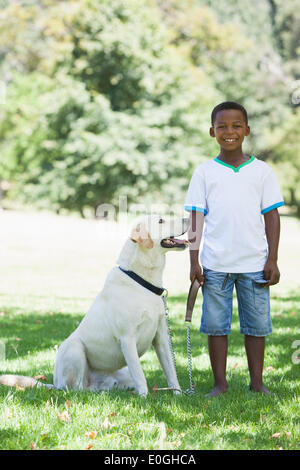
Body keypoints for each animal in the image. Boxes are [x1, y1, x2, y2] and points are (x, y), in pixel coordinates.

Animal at [0, 217, 188, 396]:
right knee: (76, 389)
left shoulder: (161, 337)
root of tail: (54, 384)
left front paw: (178, 395)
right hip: (74, 349)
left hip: (122, 373)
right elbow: (140, 374)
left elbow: (171, 371)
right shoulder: (127, 338)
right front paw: (144, 398)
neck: (142, 281)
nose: (188, 219)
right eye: (161, 221)